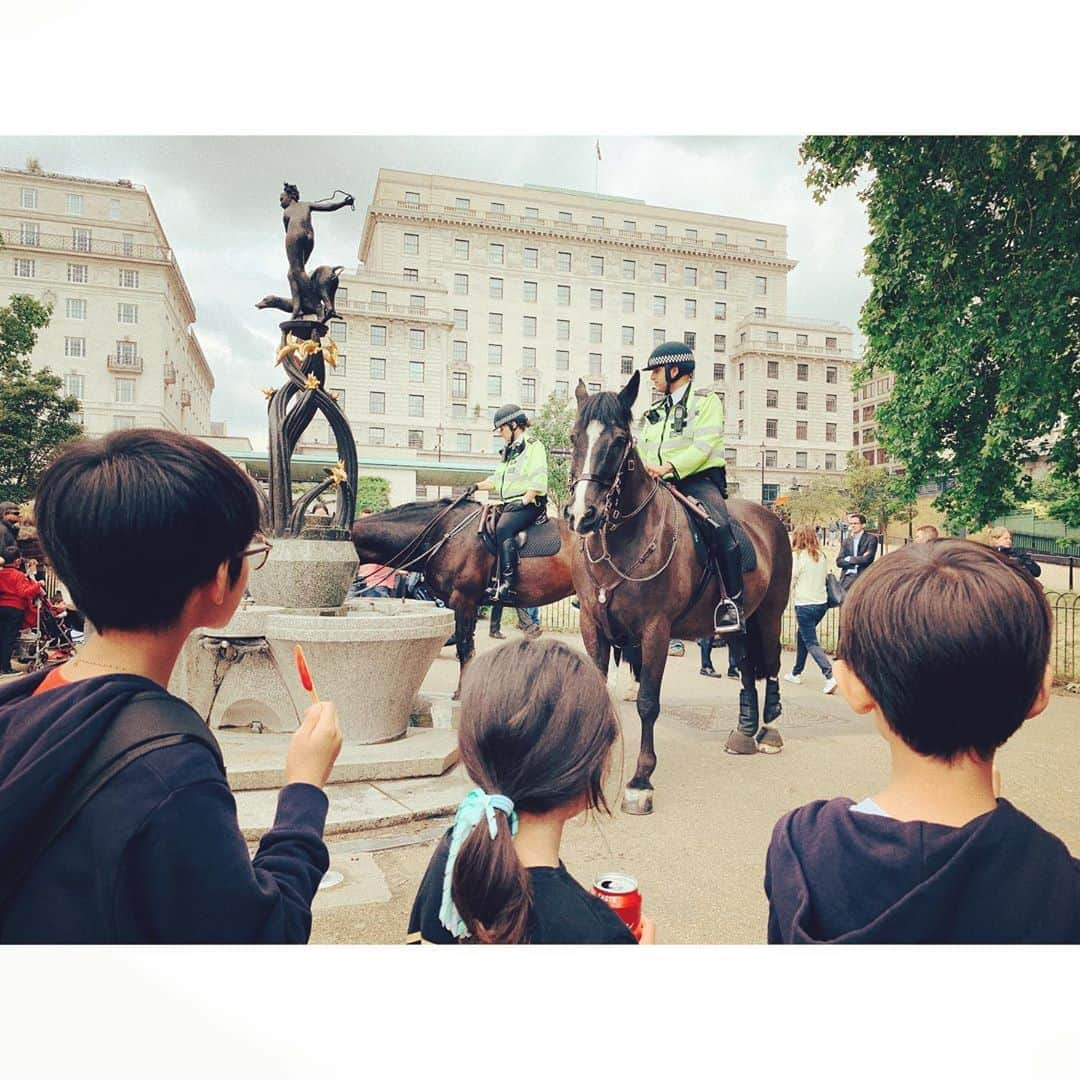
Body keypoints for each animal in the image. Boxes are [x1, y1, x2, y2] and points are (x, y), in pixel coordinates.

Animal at [352, 498, 574, 691]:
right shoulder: (470, 604)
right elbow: (469, 645)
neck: (442, 533)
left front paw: (461, 693)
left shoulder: (463, 600)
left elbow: (464, 646)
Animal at [565, 375, 794, 812]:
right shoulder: (593, 625)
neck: (625, 540)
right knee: (746, 667)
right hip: (737, 623)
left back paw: (770, 731)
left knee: (770, 665)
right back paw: (744, 732)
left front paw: (640, 780)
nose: (582, 515)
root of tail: (769, 516)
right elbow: (597, 690)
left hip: (771, 615)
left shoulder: (655, 631)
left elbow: (648, 701)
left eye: (620, 441)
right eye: (574, 437)